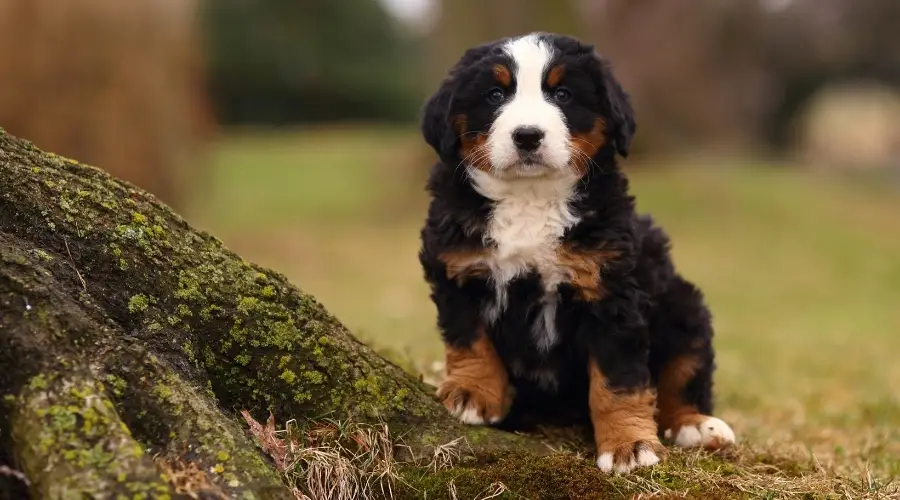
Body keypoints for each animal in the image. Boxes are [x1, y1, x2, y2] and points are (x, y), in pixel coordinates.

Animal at [418, 33, 736, 474]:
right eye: (495, 94)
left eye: (563, 94)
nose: (528, 135)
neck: (530, 197)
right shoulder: (457, 269)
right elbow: (469, 339)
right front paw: (472, 392)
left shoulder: (612, 292)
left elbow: (618, 381)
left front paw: (628, 445)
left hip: (684, 306)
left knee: (684, 372)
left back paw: (696, 425)